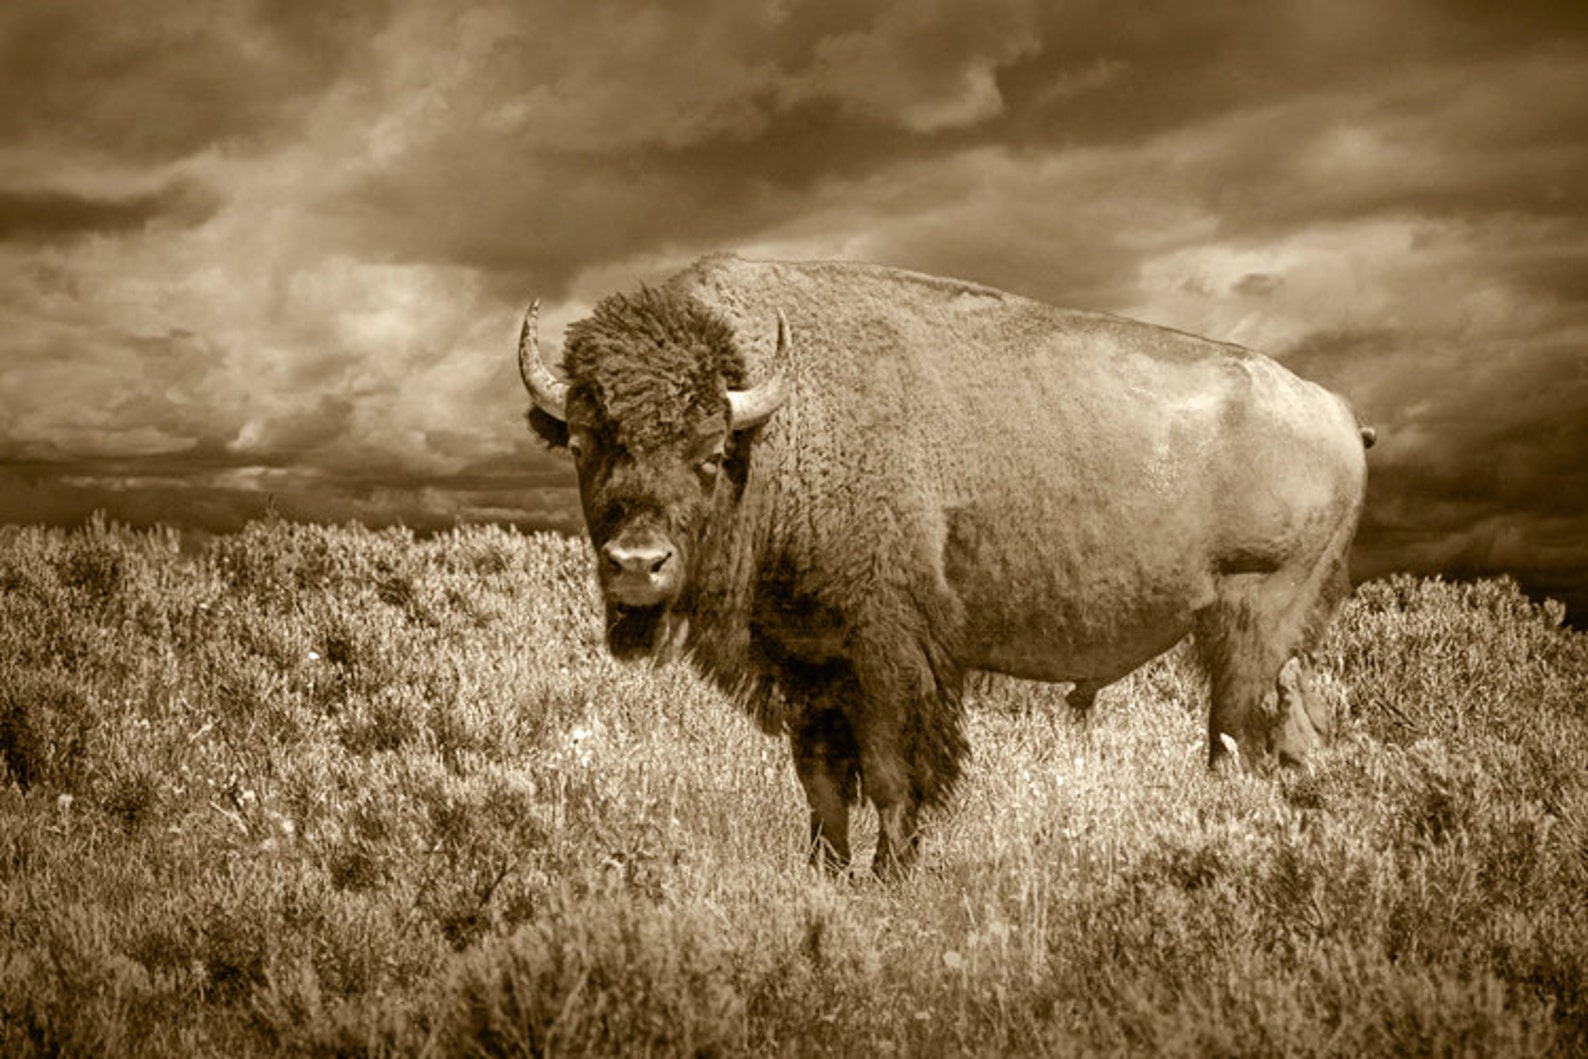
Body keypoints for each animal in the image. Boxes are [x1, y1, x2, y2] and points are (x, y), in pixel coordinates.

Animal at [514, 252, 1372, 876]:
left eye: (711, 451)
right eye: (585, 444)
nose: (637, 564)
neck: (787, 426)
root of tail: (1336, 411)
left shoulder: (889, 656)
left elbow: (893, 771)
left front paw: (892, 872)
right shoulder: (806, 663)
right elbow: (821, 780)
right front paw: (827, 871)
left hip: (1250, 626)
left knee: (1238, 739)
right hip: (1276, 643)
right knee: (1293, 734)